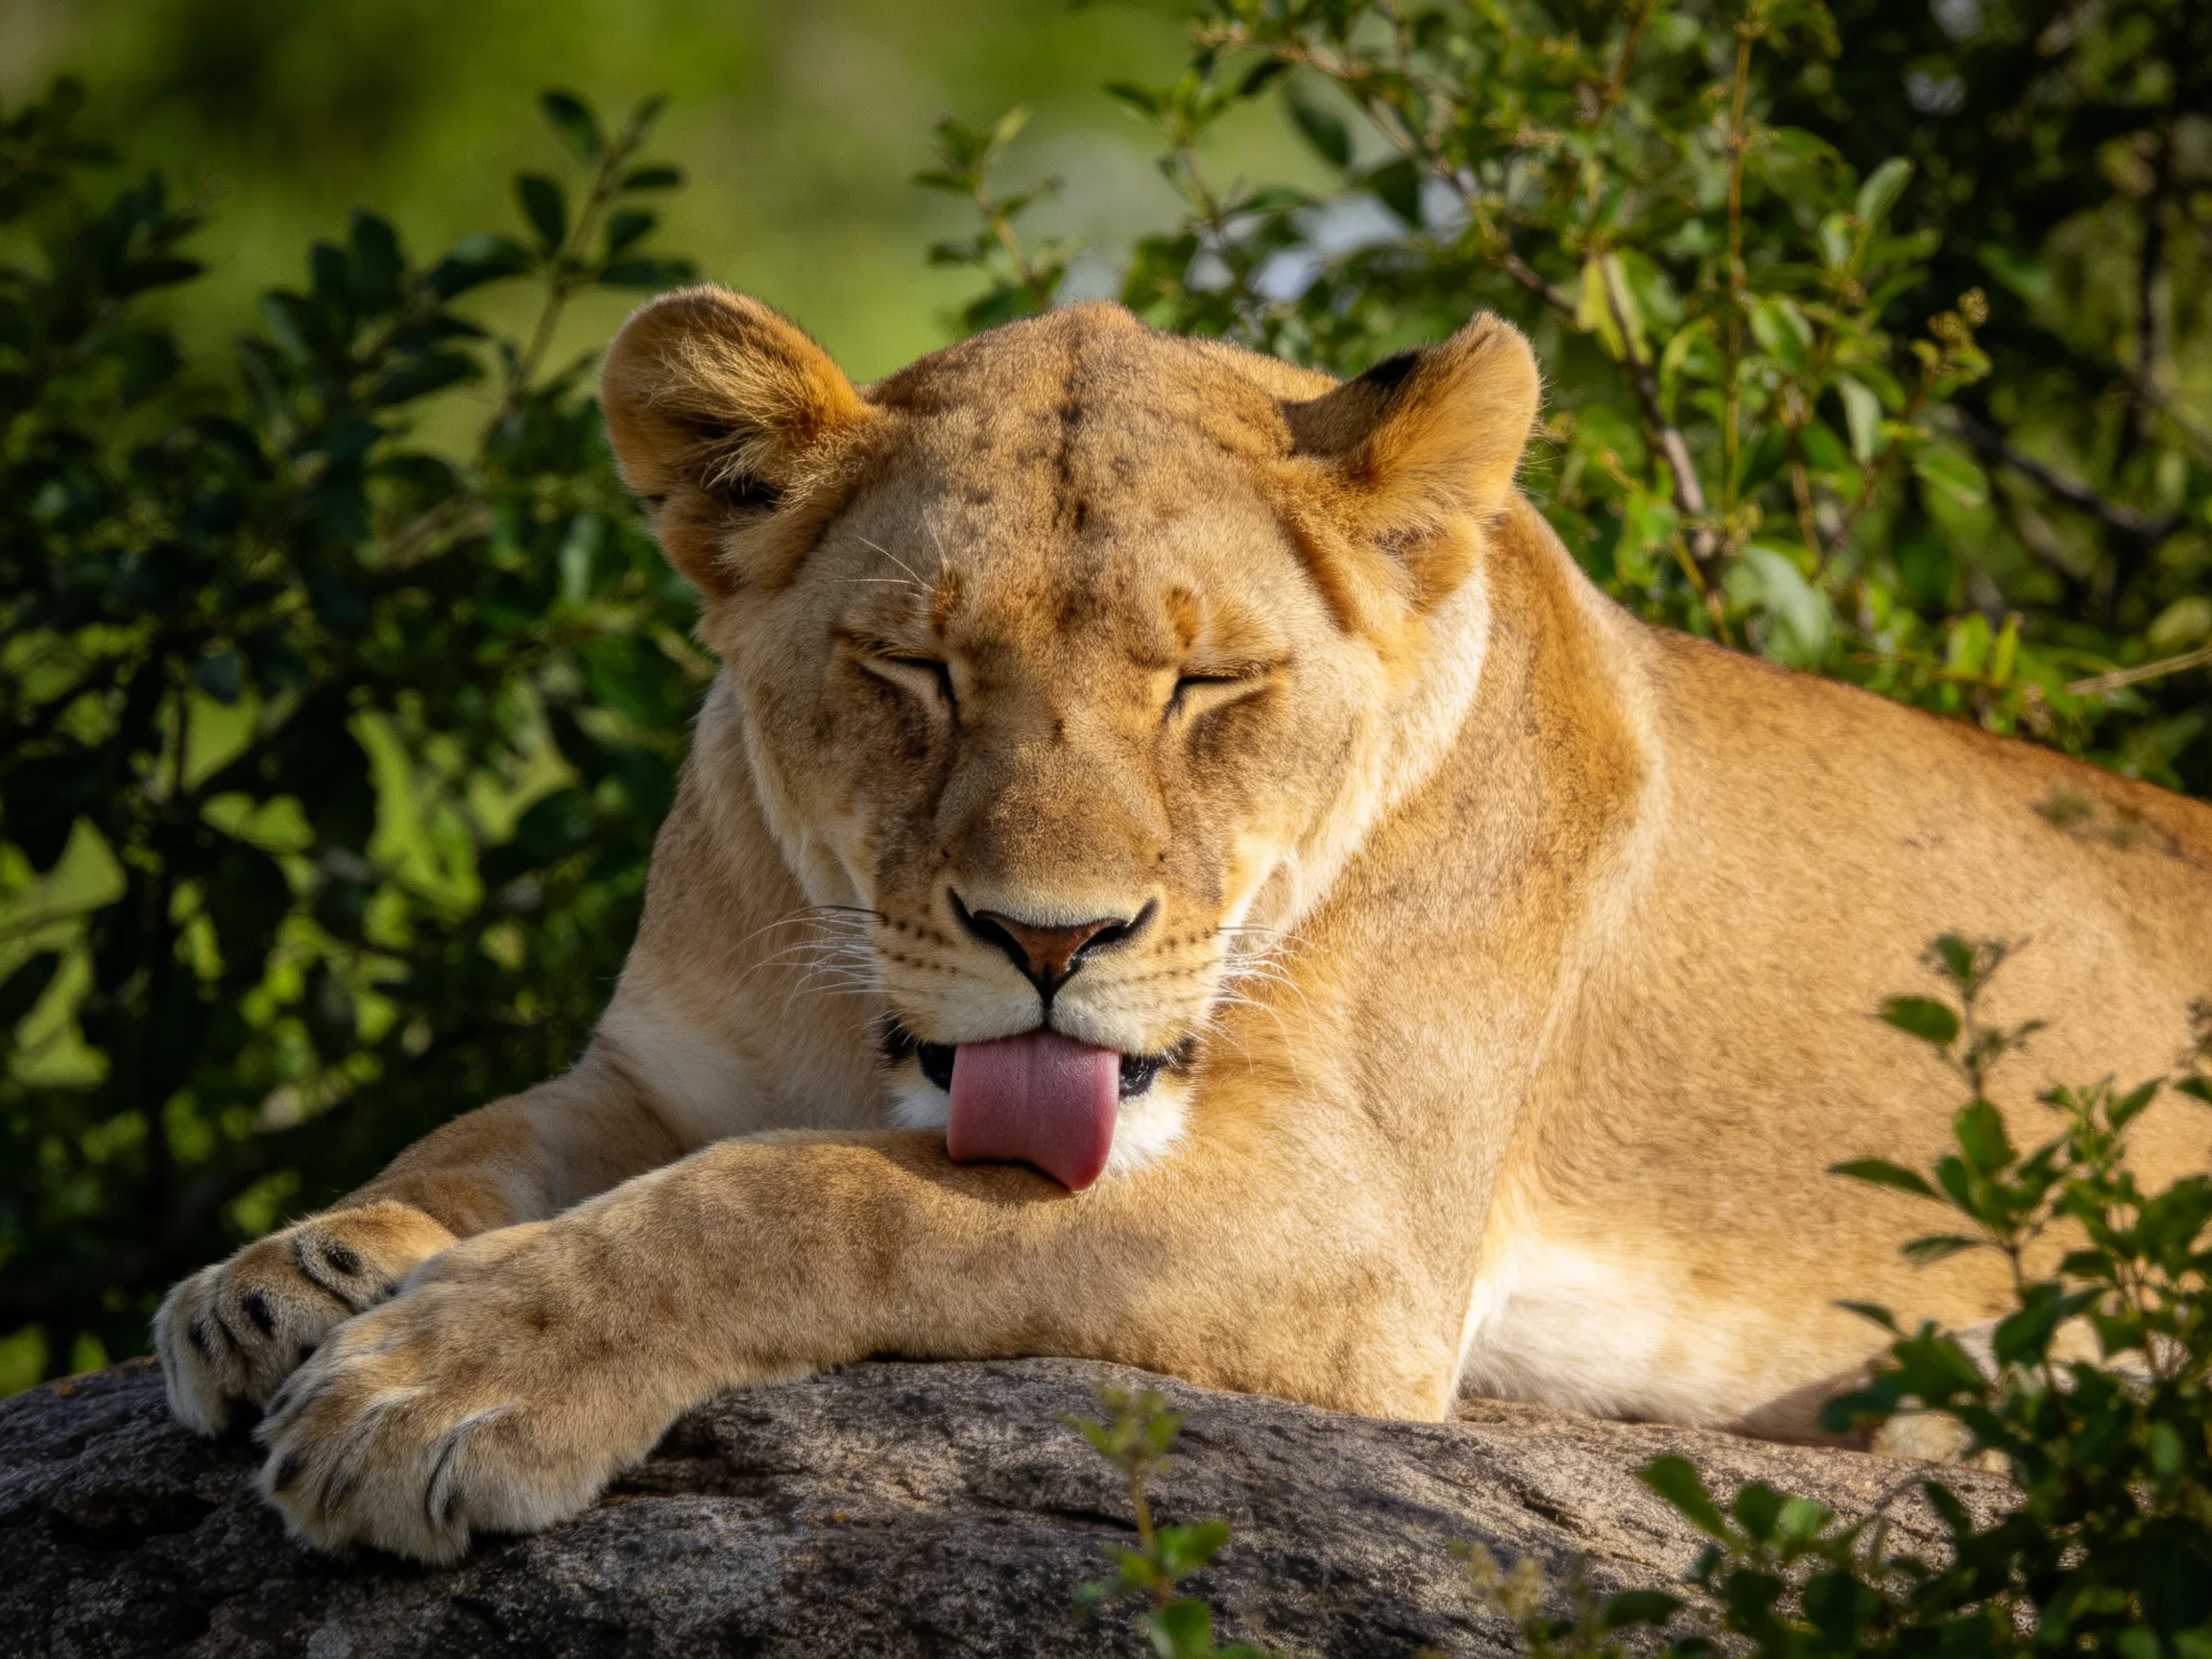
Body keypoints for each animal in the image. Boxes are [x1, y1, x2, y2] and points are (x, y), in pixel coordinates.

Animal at [153, 289, 2212, 1563]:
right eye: (914, 668)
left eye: (1205, 684)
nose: (1045, 939)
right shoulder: (661, 1063)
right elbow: (483, 1134)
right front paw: (290, 1273)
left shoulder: (1346, 1223)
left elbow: (805, 1198)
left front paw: (445, 1379)